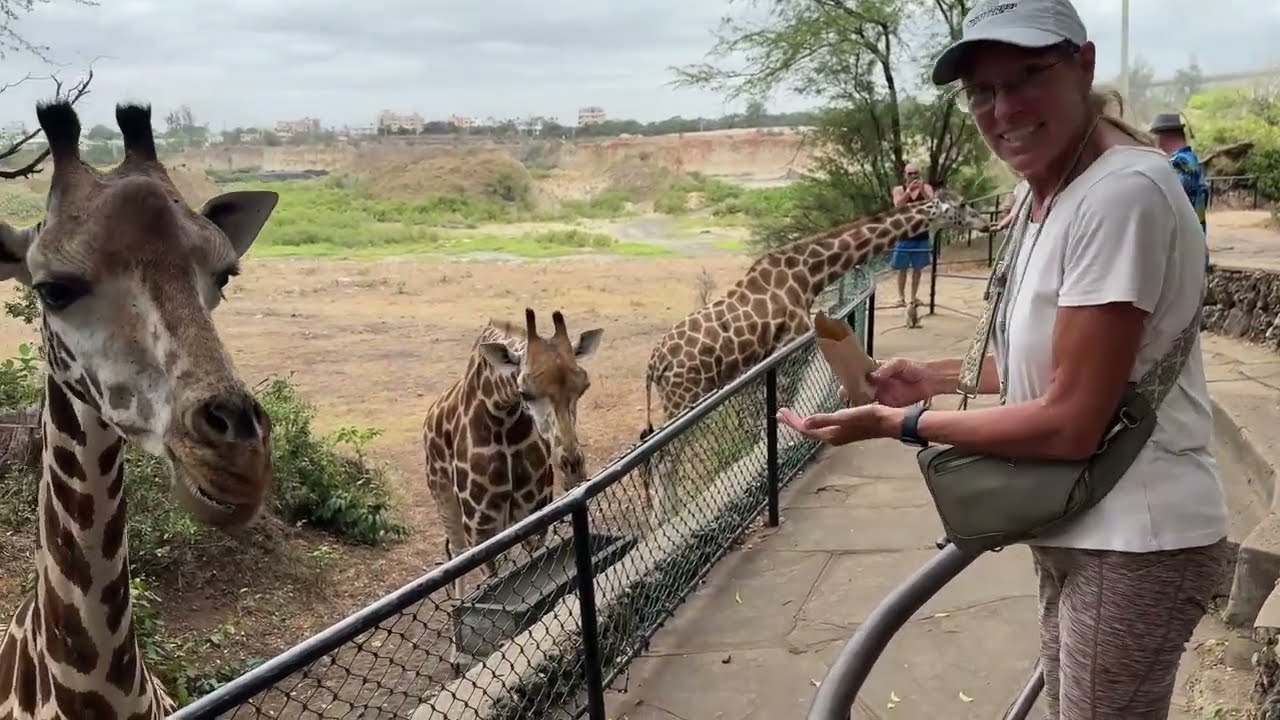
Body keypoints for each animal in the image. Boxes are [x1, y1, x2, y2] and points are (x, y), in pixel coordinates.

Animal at [423, 308, 603, 599]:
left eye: (583, 386)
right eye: (524, 393)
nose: (573, 467)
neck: (502, 418)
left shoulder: (533, 513)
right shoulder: (481, 529)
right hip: (444, 498)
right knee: (456, 554)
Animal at [638, 188, 989, 519]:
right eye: (962, 205)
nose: (986, 223)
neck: (808, 274)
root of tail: (654, 364)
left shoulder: (773, 355)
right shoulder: (788, 347)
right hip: (685, 393)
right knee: (664, 456)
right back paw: (665, 516)